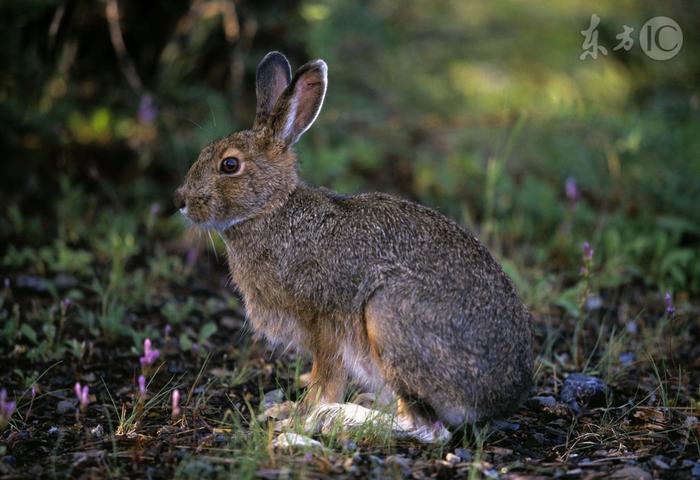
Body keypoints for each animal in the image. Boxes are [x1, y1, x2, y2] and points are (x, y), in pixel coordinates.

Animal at [174, 51, 532, 442]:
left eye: (230, 165)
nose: (181, 201)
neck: (272, 210)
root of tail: (498, 398)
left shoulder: (324, 323)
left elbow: (324, 380)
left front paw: (298, 418)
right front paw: (283, 410)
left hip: (386, 316)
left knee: (424, 427)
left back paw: (338, 418)